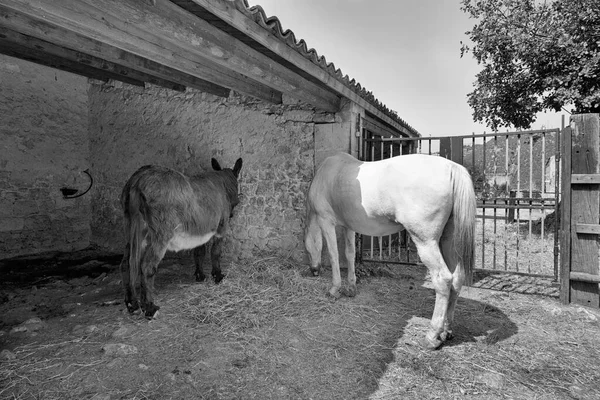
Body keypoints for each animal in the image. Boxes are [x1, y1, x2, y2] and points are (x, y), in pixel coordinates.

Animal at [308, 152, 476, 348]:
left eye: (307, 249)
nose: (313, 270)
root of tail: (452, 168)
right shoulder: (348, 226)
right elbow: (349, 255)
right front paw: (351, 287)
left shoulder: (326, 222)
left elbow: (334, 255)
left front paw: (334, 289)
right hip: (448, 241)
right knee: (457, 278)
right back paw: (446, 331)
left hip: (426, 242)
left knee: (443, 280)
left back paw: (432, 335)